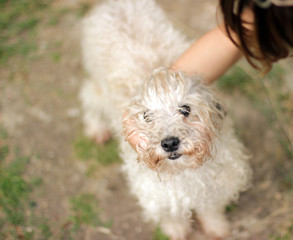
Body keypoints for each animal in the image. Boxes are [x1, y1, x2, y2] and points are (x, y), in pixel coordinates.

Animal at [79, 0, 251, 239]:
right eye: (146, 116)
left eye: (185, 109)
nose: (169, 143)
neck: (183, 173)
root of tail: (112, 4)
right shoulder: (156, 195)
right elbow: (171, 216)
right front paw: (177, 231)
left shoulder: (216, 185)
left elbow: (211, 209)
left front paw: (216, 228)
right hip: (97, 86)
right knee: (89, 96)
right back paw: (97, 129)